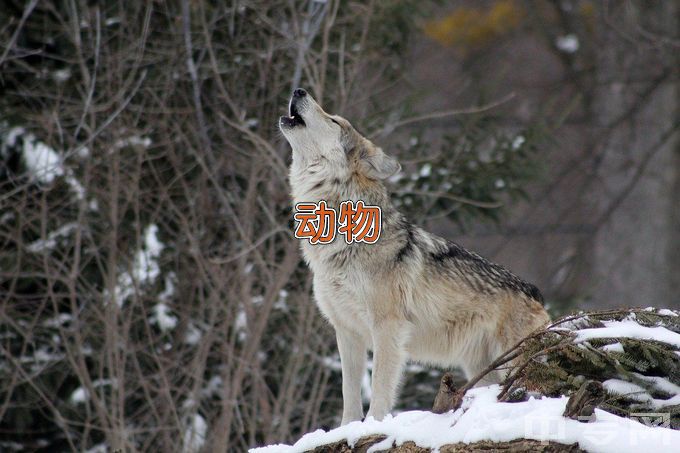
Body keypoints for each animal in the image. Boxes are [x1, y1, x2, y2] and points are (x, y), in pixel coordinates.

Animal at [278, 87, 548, 424]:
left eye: (334, 120)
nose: (298, 90)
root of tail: (535, 292)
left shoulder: (387, 328)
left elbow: (379, 388)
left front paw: (373, 426)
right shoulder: (347, 331)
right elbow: (349, 395)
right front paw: (347, 428)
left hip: (511, 361)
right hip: (482, 370)